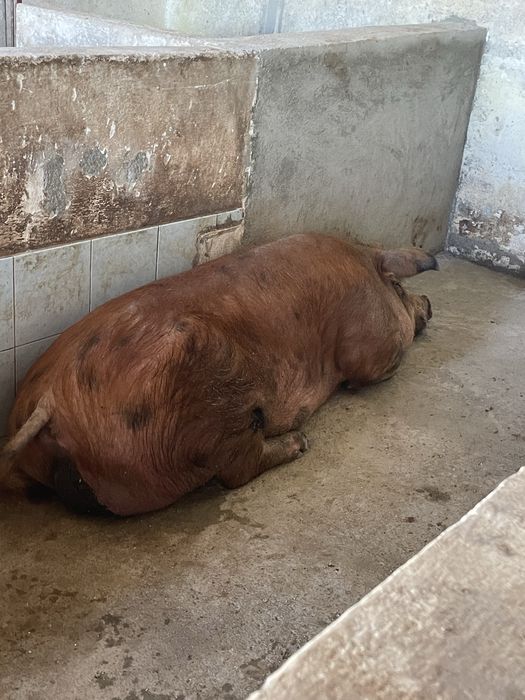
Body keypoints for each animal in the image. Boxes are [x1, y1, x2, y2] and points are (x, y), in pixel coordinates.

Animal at [1, 233, 436, 516]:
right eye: (398, 287)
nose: (429, 303)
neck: (364, 265)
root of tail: (52, 399)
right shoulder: (367, 345)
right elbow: (368, 370)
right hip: (212, 399)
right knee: (237, 469)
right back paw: (300, 443)